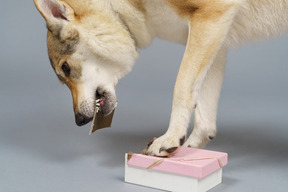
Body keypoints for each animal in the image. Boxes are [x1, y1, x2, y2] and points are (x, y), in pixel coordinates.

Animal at [34, 0, 288, 156]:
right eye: (62, 78)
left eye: (66, 68)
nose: (79, 121)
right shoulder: (217, 39)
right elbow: (204, 112)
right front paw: (189, 147)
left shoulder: (210, 18)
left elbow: (181, 86)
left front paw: (170, 138)